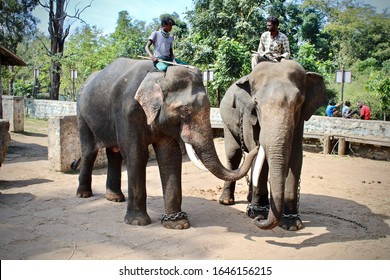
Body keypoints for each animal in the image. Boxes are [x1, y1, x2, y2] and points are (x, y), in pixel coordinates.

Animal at [77, 57, 258, 230]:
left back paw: (115, 198)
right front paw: (138, 222)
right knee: (89, 151)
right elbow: (136, 155)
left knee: (113, 153)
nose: (255, 148)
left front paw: (178, 224)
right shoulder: (127, 111)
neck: (158, 75)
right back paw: (84, 194)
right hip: (81, 114)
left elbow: (169, 156)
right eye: (186, 110)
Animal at [219, 59, 326, 230]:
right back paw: (227, 201)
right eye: (256, 102)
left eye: (299, 102)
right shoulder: (250, 118)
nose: (258, 220)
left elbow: (295, 158)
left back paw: (250, 200)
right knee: (233, 154)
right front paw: (258, 214)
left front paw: (291, 224)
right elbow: (259, 158)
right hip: (227, 122)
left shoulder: (299, 122)